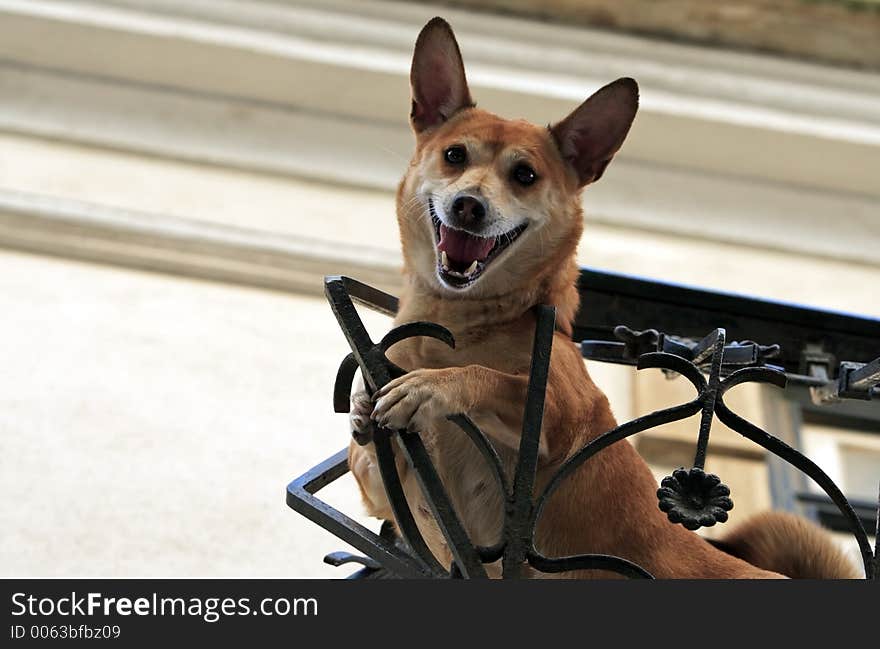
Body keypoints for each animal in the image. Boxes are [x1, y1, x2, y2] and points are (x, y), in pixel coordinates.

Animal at [348, 16, 856, 576]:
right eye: (455, 156)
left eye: (524, 175)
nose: (468, 206)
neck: (461, 319)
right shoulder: (389, 495)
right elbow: (368, 458)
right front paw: (363, 407)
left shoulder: (556, 413)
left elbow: (487, 376)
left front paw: (432, 386)